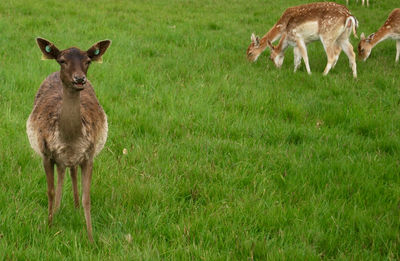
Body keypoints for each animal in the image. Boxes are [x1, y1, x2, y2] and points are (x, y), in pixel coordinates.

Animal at [26, 37, 111, 242]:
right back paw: (57, 211)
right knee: (62, 174)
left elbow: (87, 197)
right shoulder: (46, 153)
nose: (79, 79)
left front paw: (90, 238)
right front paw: (49, 227)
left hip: (72, 159)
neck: (70, 139)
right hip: (59, 159)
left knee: (70, 172)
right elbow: (50, 191)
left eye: (88, 61)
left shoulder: (89, 155)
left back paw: (75, 207)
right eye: (62, 60)